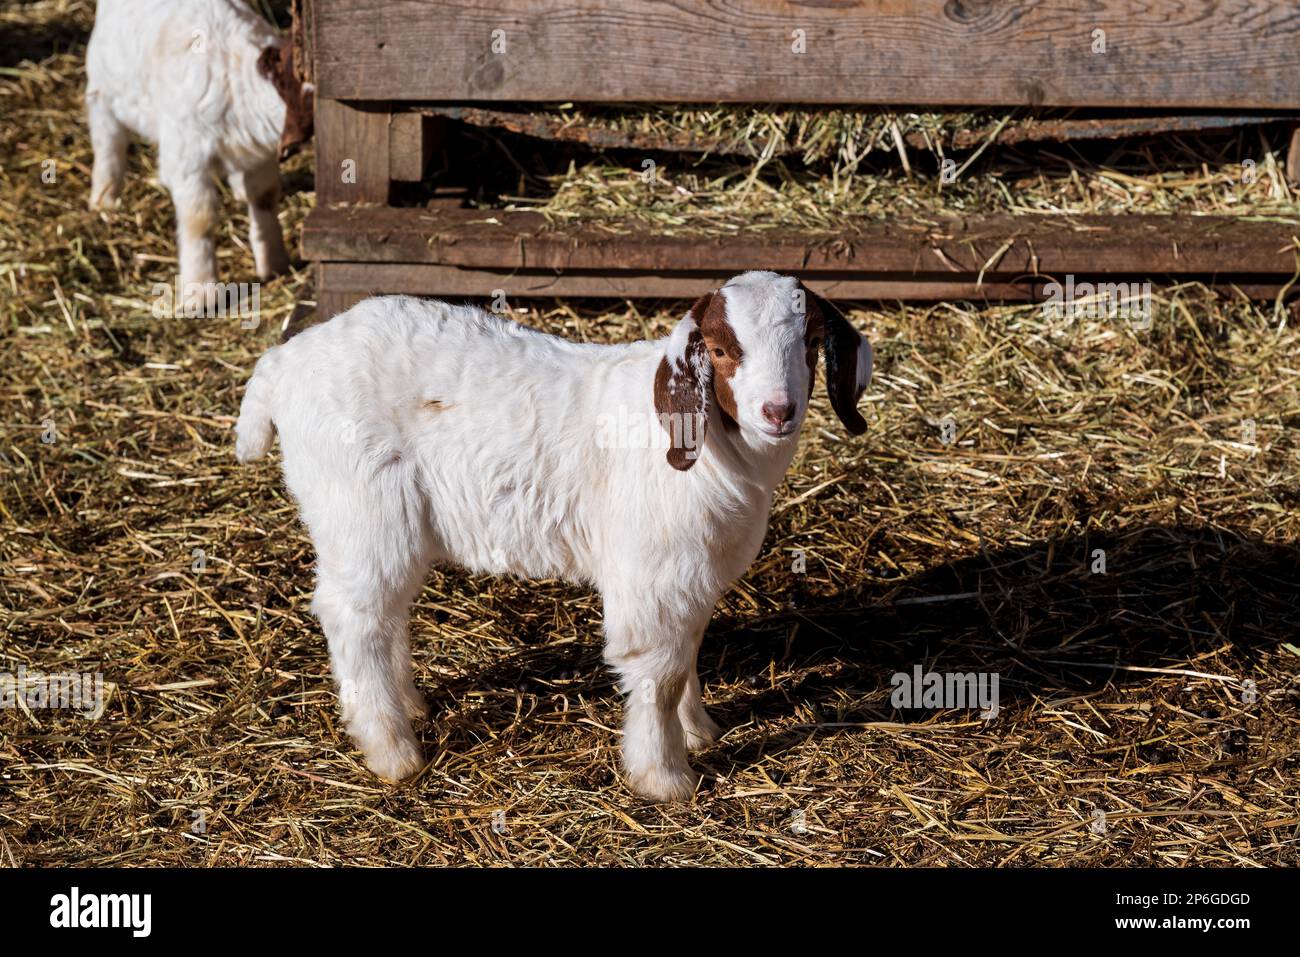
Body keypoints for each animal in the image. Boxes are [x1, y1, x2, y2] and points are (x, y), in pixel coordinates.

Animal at [85, 0, 312, 304]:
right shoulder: (187, 158)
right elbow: (199, 219)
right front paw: (201, 294)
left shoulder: (260, 157)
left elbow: (264, 197)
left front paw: (274, 262)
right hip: (103, 87)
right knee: (108, 139)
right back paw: (104, 197)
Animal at [235, 270, 873, 800]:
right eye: (719, 350)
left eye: (810, 343)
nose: (777, 411)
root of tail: (282, 364)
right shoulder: (651, 573)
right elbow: (659, 671)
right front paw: (665, 777)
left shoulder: (689, 574)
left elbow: (688, 649)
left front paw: (699, 730)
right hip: (361, 510)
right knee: (353, 617)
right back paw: (392, 751)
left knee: (384, 612)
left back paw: (409, 706)